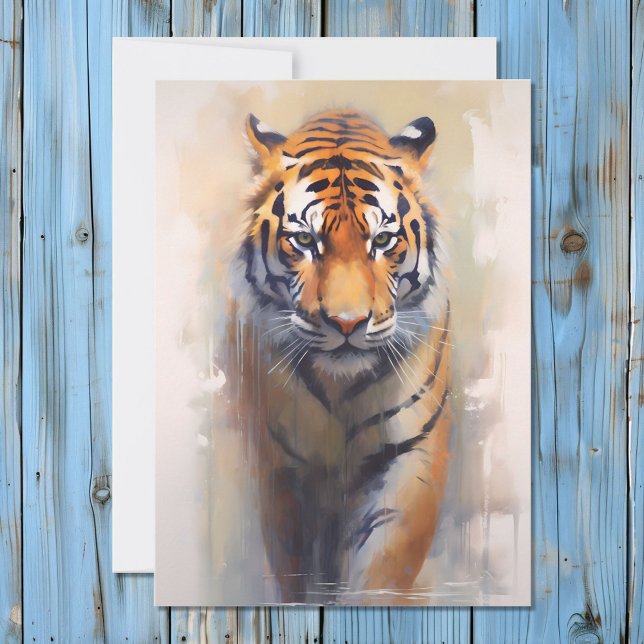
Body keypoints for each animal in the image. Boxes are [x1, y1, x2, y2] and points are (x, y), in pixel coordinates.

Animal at [225, 109, 452, 605]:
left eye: (383, 241)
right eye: (304, 241)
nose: (348, 324)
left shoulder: (409, 458)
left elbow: (382, 570)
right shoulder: (282, 470)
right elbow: (295, 571)